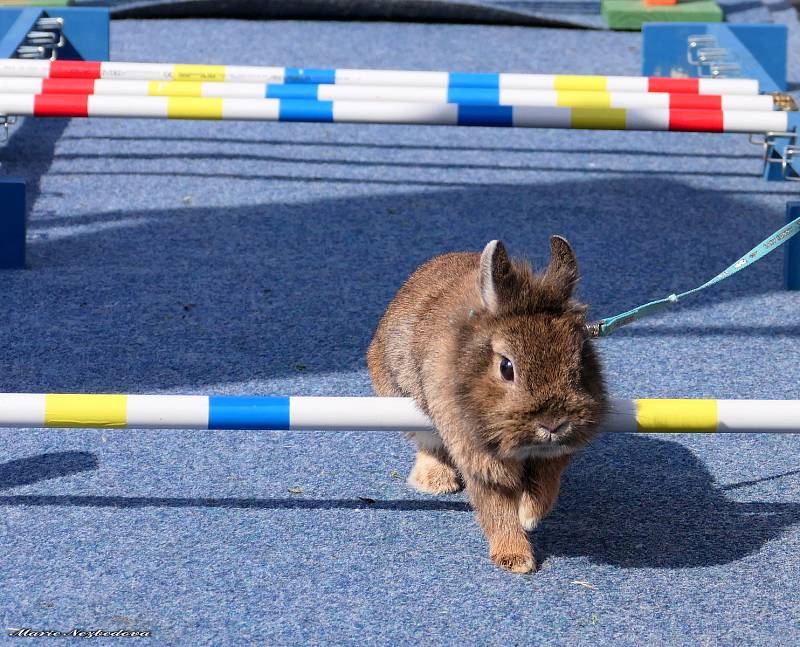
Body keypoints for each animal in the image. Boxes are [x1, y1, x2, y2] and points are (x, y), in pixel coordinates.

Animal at [368, 237, 608, 572]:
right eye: (506, 367)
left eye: (581, 359)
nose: (553, 423)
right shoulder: (478, 456)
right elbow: (495, 507)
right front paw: (516, 559)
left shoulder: (553, 456)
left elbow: (544, 488)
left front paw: (529, 515)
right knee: (429, 444)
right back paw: (436, 482)